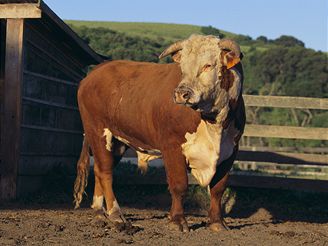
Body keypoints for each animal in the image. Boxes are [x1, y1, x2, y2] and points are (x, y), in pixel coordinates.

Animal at [73, 35, 245, 233]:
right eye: (182, 68)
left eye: (208, 65)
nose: (181, 93)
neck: (214, 124)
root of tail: (94, 73)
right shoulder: (172, 146)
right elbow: (179, 185)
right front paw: (177, 221)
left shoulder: (230, 151)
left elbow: (218, 188)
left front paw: (217, 222)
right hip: (98, 131)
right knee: (105, 172)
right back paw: (116, 215)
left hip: (117, 141)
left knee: (99, 170)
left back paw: (100, 213)